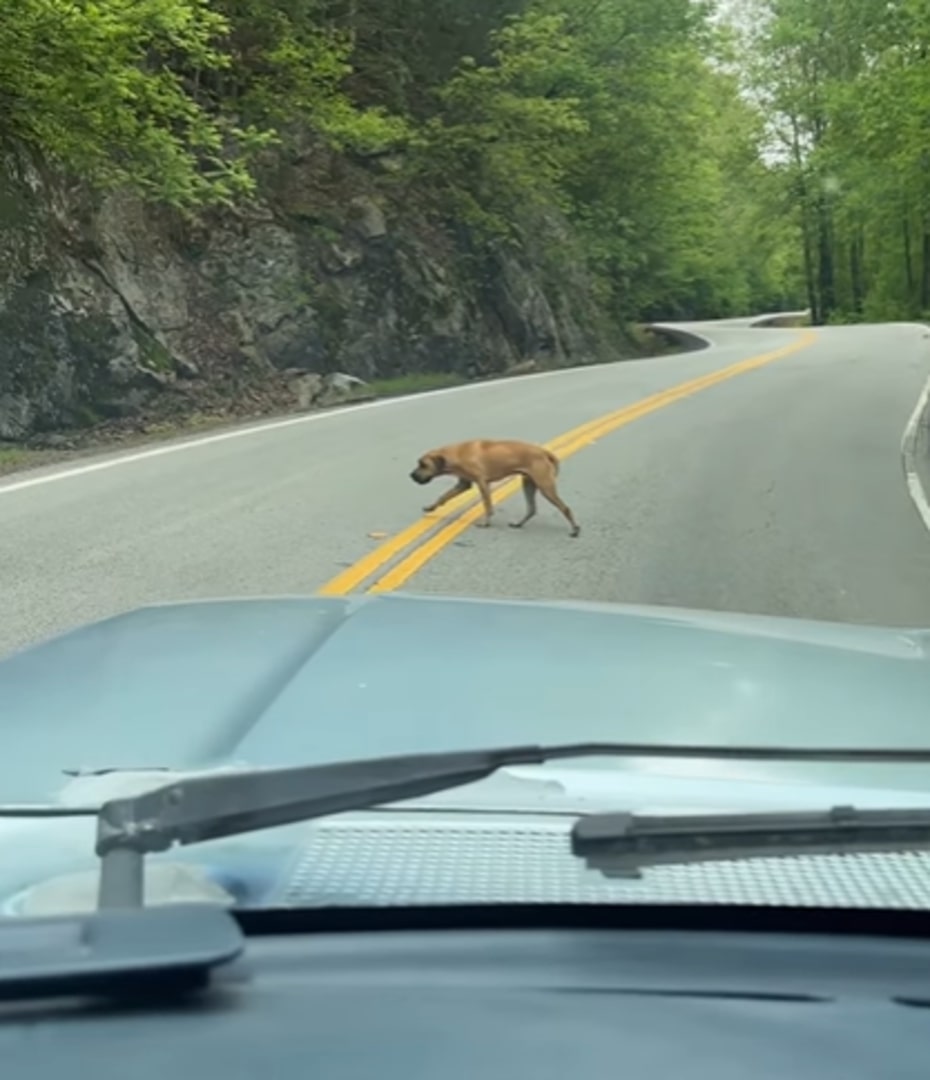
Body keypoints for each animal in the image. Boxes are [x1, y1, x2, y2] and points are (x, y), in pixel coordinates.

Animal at [408, 438, 578, 535]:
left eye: (423, 465)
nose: (411, 475)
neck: (457, 453)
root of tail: (544, 452)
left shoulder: (482, 483)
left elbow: (487, 505)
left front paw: (486, 523)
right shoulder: (463, 484)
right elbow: (444, 496)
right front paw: (431, 507)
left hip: (545, 487)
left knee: (565, 508)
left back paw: (575, 529)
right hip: (528, 484)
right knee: (532, 509)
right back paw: (518, 524)